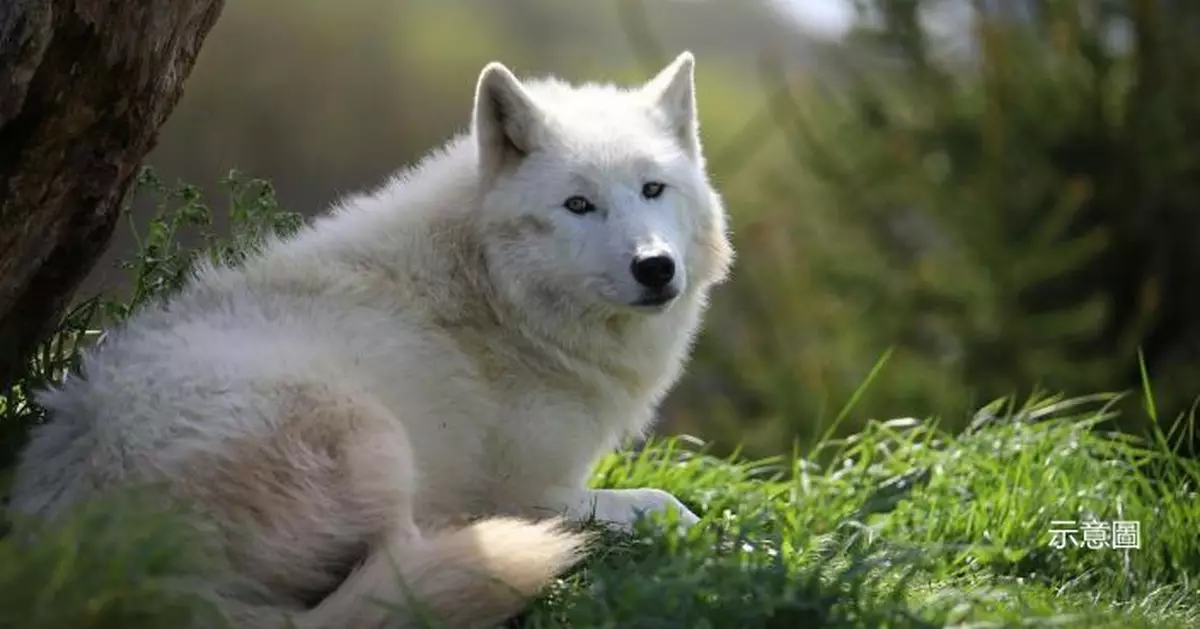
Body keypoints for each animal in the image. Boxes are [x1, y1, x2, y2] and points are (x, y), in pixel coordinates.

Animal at [9, 51, 729, 624]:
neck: (495, 293)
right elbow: (664, 502)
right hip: (370, 432)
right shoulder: (531, 486)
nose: (655, 267)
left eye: (653, 189)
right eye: (579, 205)